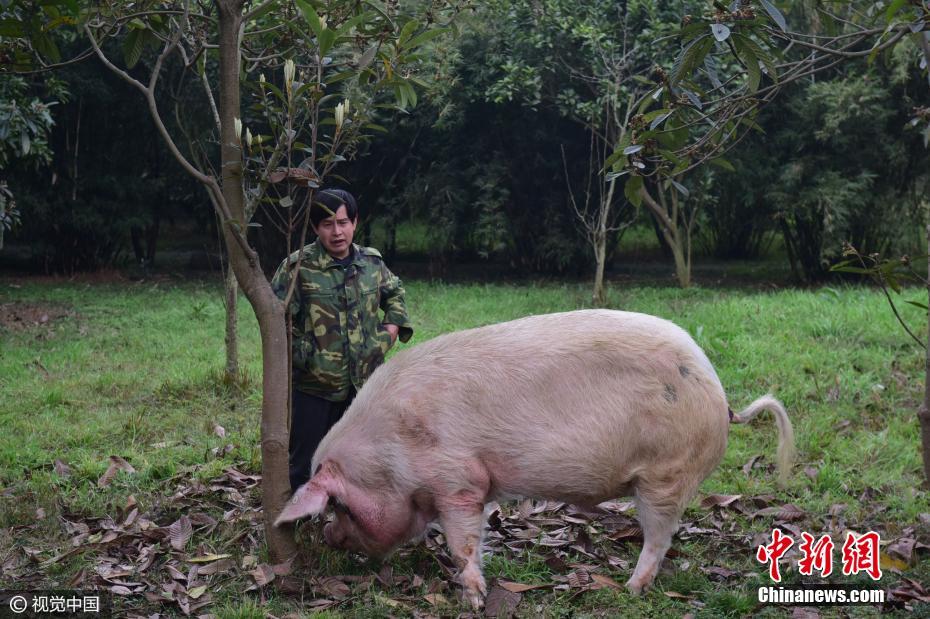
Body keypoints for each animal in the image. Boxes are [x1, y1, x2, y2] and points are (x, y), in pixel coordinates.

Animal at [272, 308, 792, 608]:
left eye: (338, 505)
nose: (329, 537)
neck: (390, 450)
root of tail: (722, 397)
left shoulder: (458, 479)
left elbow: (462, 540)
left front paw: (474, 600)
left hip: (666, 474)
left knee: (660, 539)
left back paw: (628, 589)